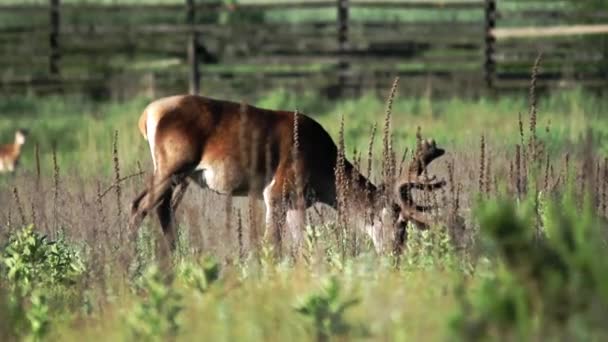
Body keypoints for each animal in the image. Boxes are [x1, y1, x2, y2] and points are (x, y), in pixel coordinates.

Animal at [129, 95, 446, 252]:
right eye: (400, 224)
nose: (397, 257)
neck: (324, 171)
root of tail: (146, 115)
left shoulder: (296, 201)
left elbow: (302, 241)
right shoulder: (277, 191)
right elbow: (273, 243)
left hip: (173, 173)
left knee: (161, 208)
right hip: (172, 164)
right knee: (139, 206)